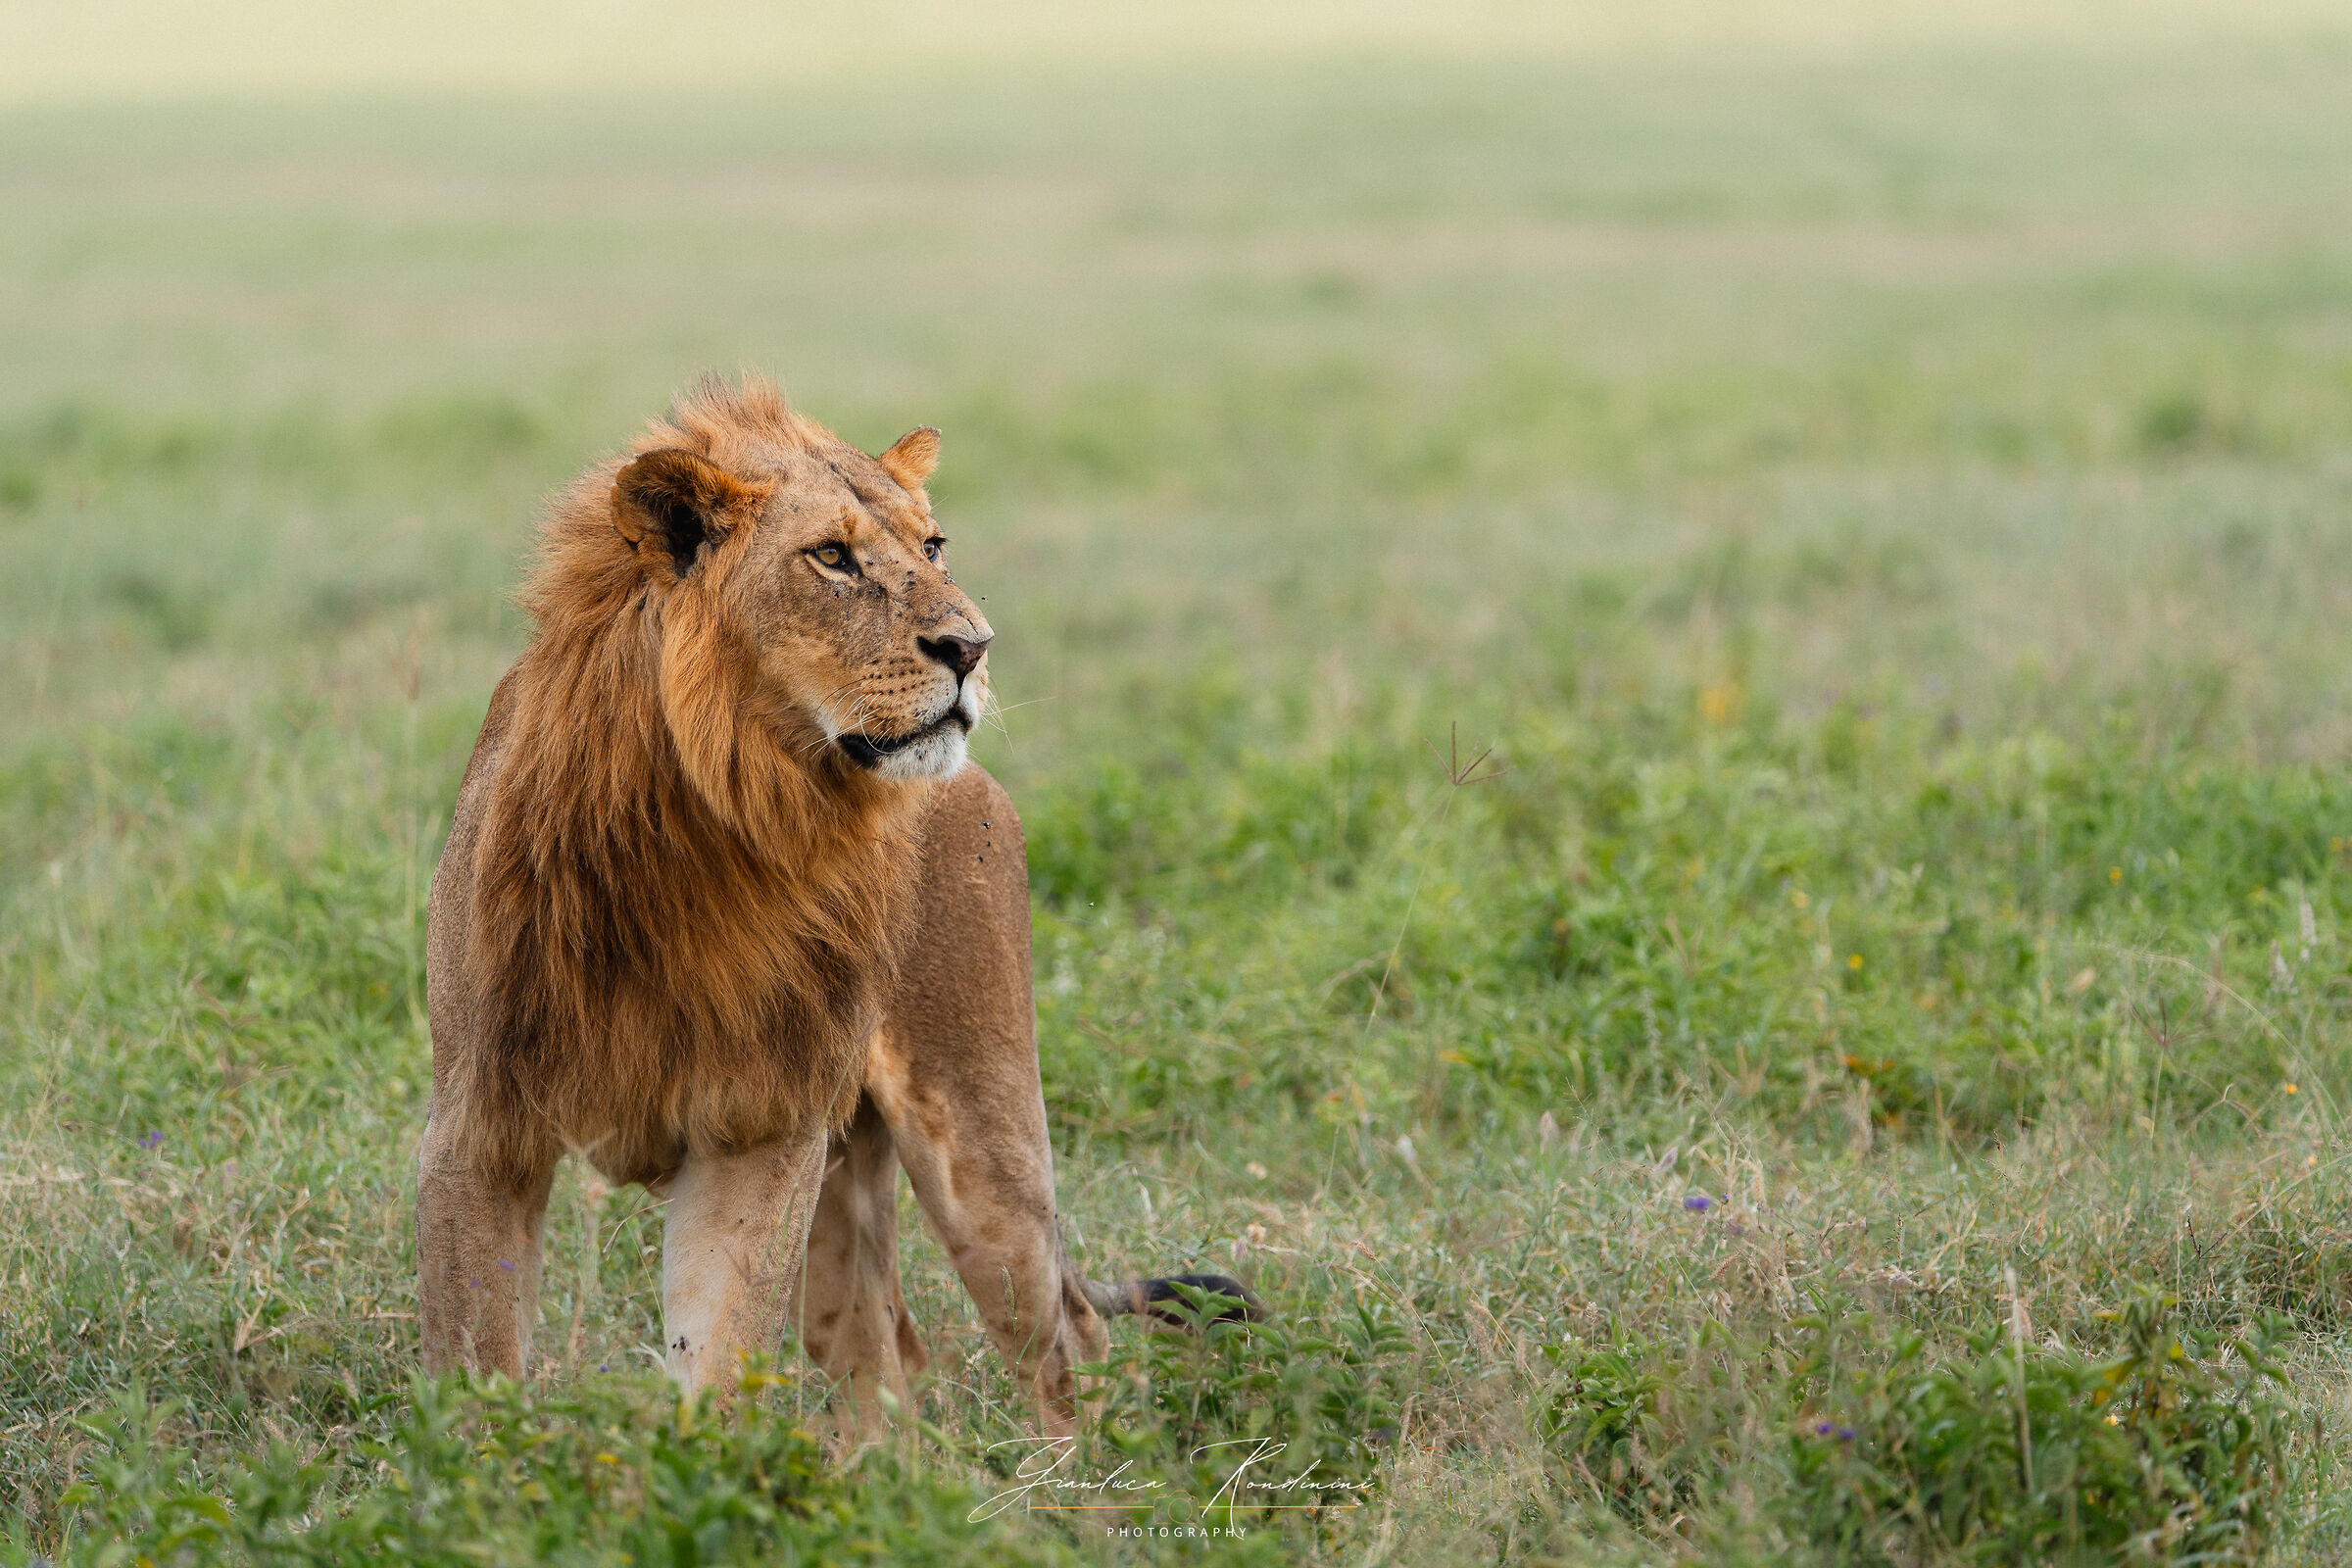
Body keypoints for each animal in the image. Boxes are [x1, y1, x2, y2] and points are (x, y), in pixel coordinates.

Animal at [417, 376, 1251, 1437]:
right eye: (833, 558)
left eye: (933, 546)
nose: (974, 648)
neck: (712, 824)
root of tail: (977, 782)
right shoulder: (478, 1128)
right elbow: (475, 1374)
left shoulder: (757, 1128)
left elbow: (718, 1358)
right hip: (846, 1165)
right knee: (883, 1350)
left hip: (977, 1141)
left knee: (1062, 1331)